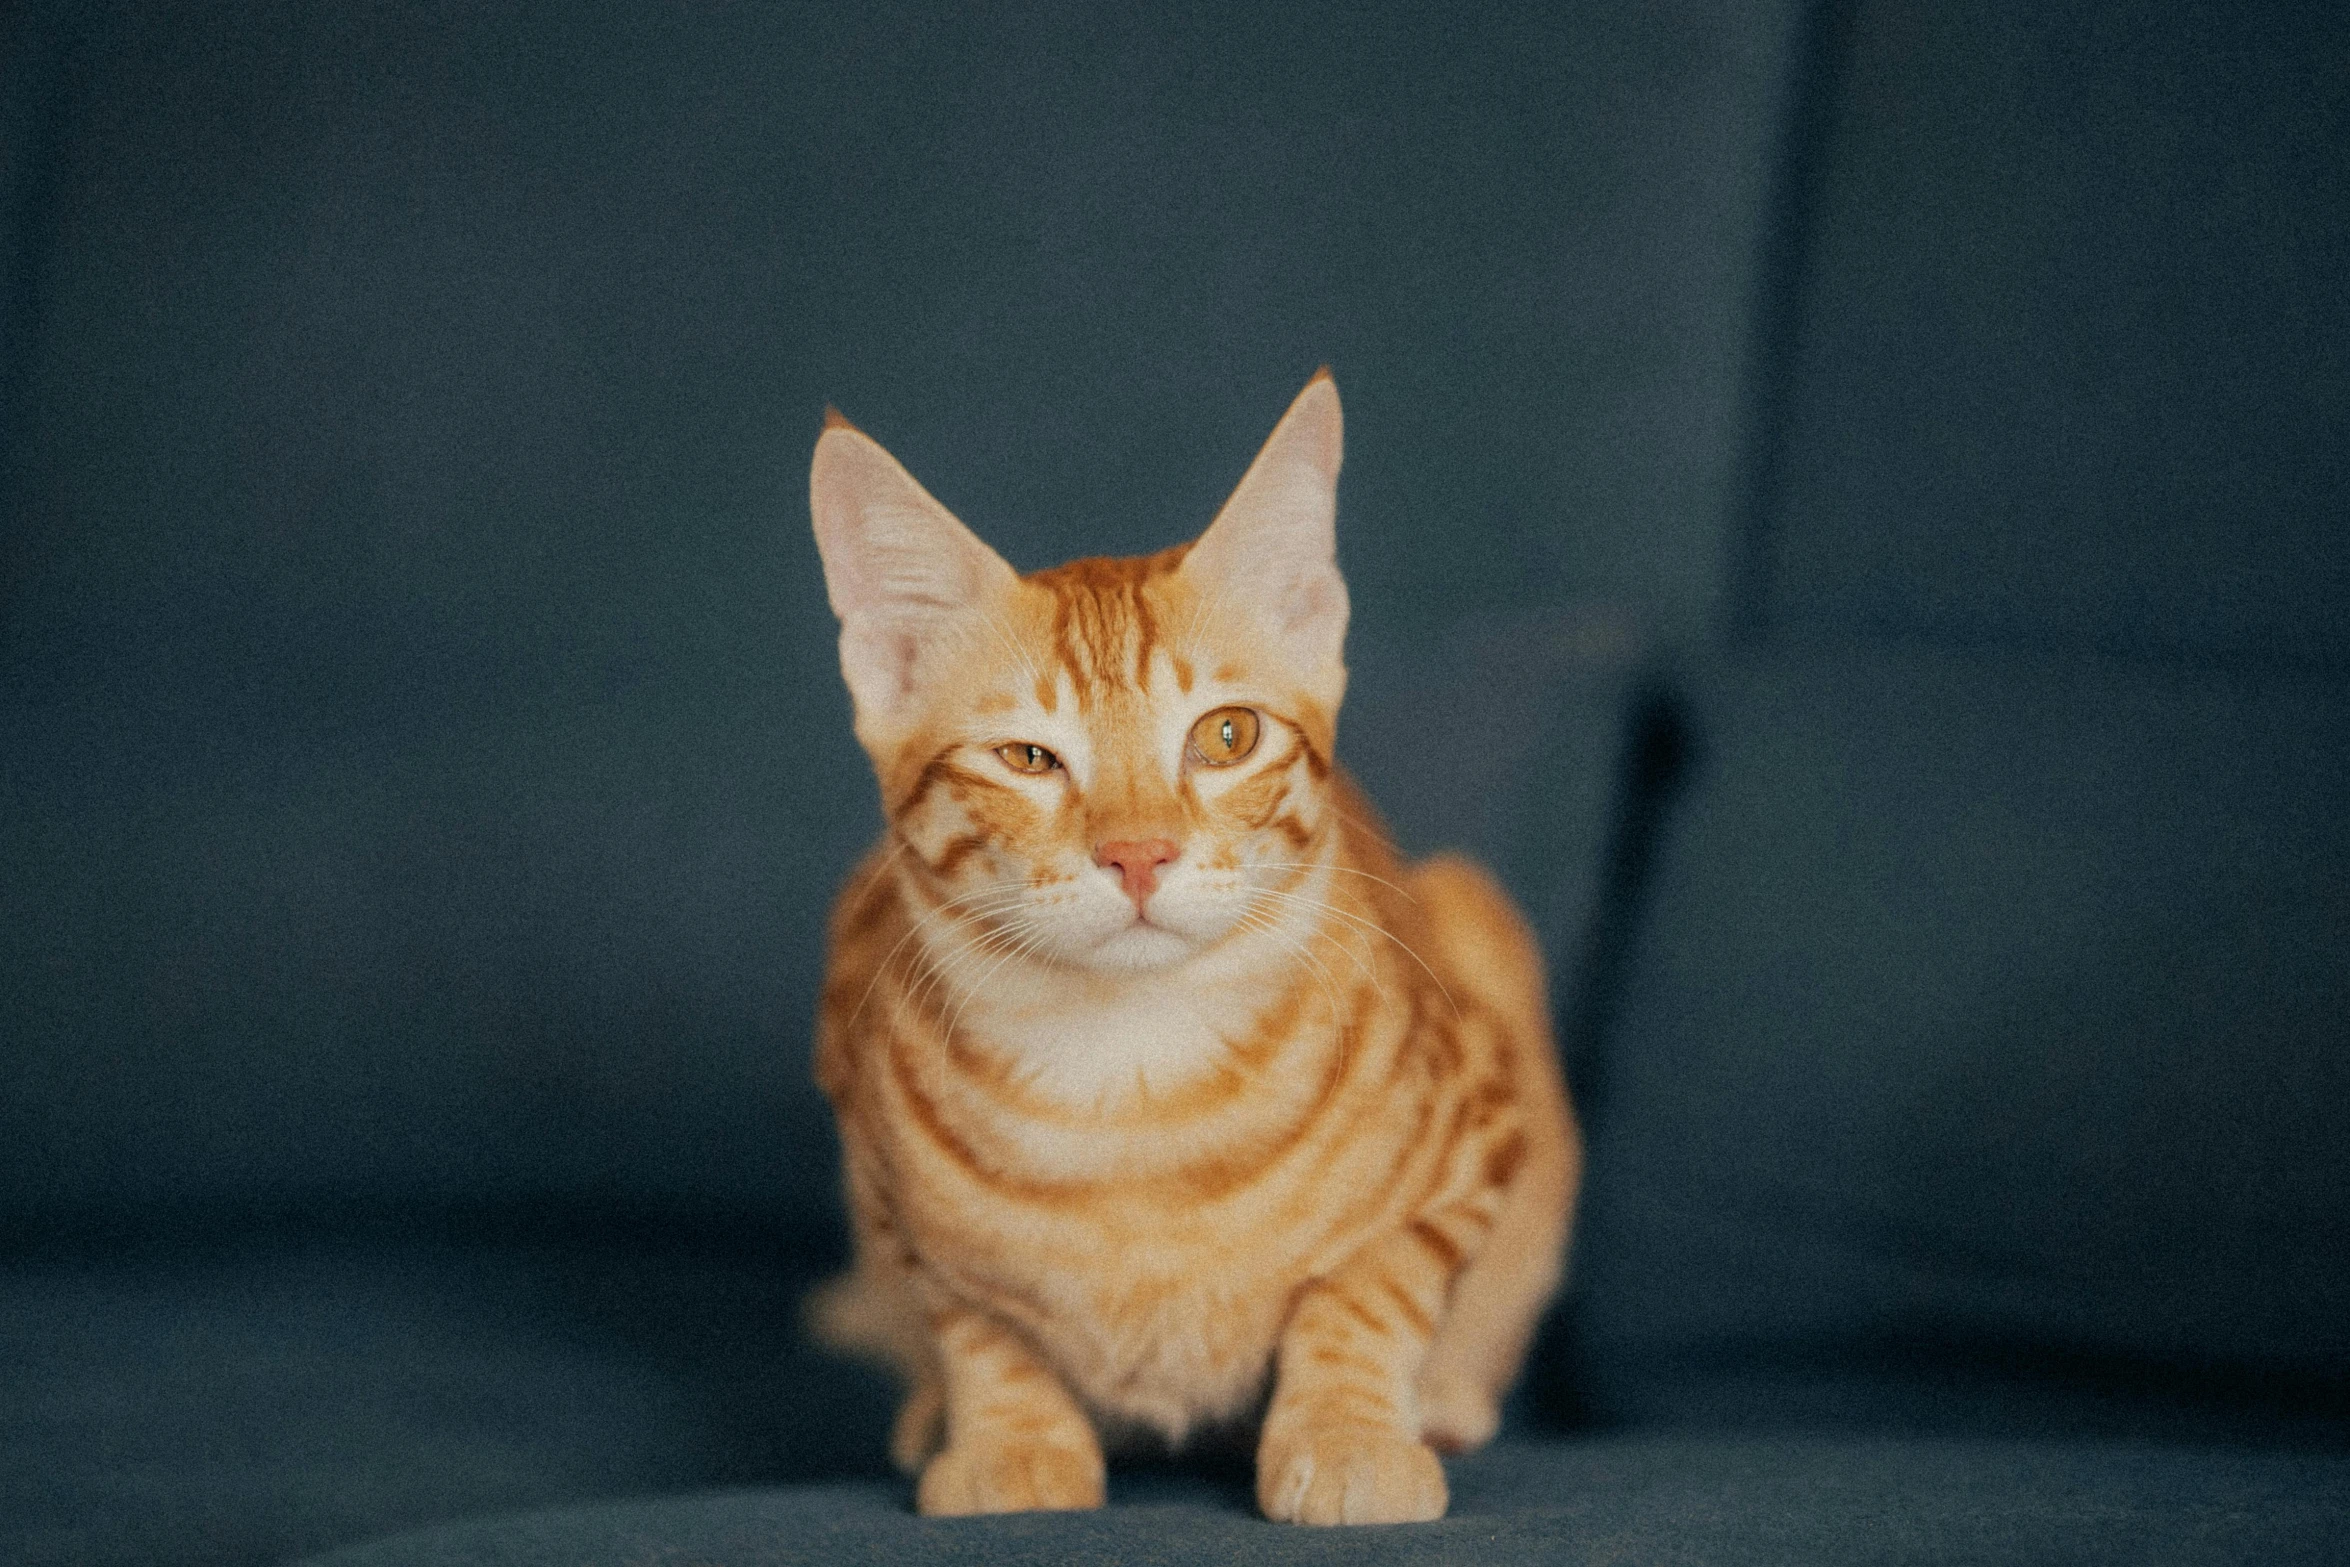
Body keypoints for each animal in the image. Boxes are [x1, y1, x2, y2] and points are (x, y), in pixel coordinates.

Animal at [803, 373, 1579, 1522]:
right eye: (1026, 758)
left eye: (1225, 737)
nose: (1138, 852)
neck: (1136, 1096)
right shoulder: (882, 1178)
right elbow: (975, 1322)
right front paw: (1010, 1438)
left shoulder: (1482, 1118)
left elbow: (1370, 1286)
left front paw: (1348, 1429)